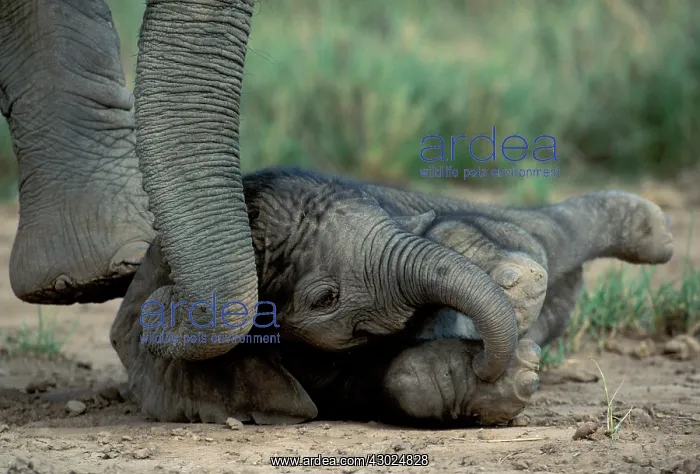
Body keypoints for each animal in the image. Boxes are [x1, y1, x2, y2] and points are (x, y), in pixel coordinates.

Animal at [110, 167, 673, 426]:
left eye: (385, 219)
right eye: (325, 300)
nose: (489, 359)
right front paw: (501, 381)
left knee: (550, 234)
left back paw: (650, 235)